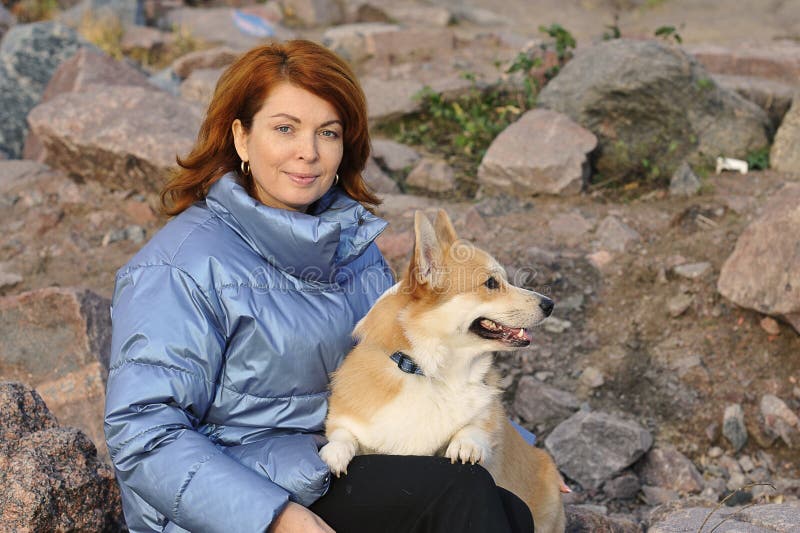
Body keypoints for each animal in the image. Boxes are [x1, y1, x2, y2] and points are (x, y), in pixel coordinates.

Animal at [320, 210, 568, 528]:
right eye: (491, 283)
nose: (550, 304)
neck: (432, 374)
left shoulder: (487, 415)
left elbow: (478, 426)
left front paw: (466, 446)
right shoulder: (347, 419)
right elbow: (342, 433)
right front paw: (334, 454)